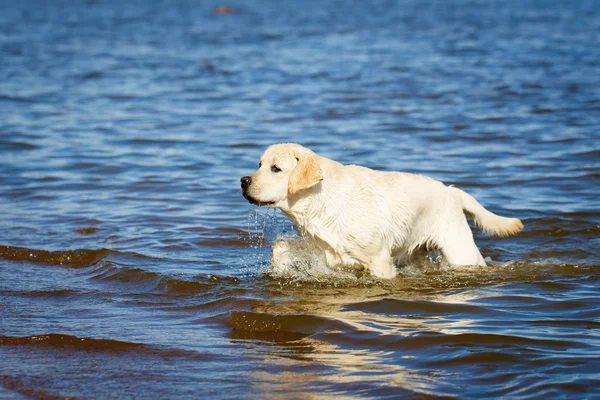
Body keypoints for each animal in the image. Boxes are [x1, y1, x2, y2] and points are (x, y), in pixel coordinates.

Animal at [241, 143, 524, 278]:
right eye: (259, 164)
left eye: (276, 168)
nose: (243, 180)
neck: (320, 201)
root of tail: (452, 191)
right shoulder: (323, 246)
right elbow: (280, 247)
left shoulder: (379, 260)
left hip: (460, 250)